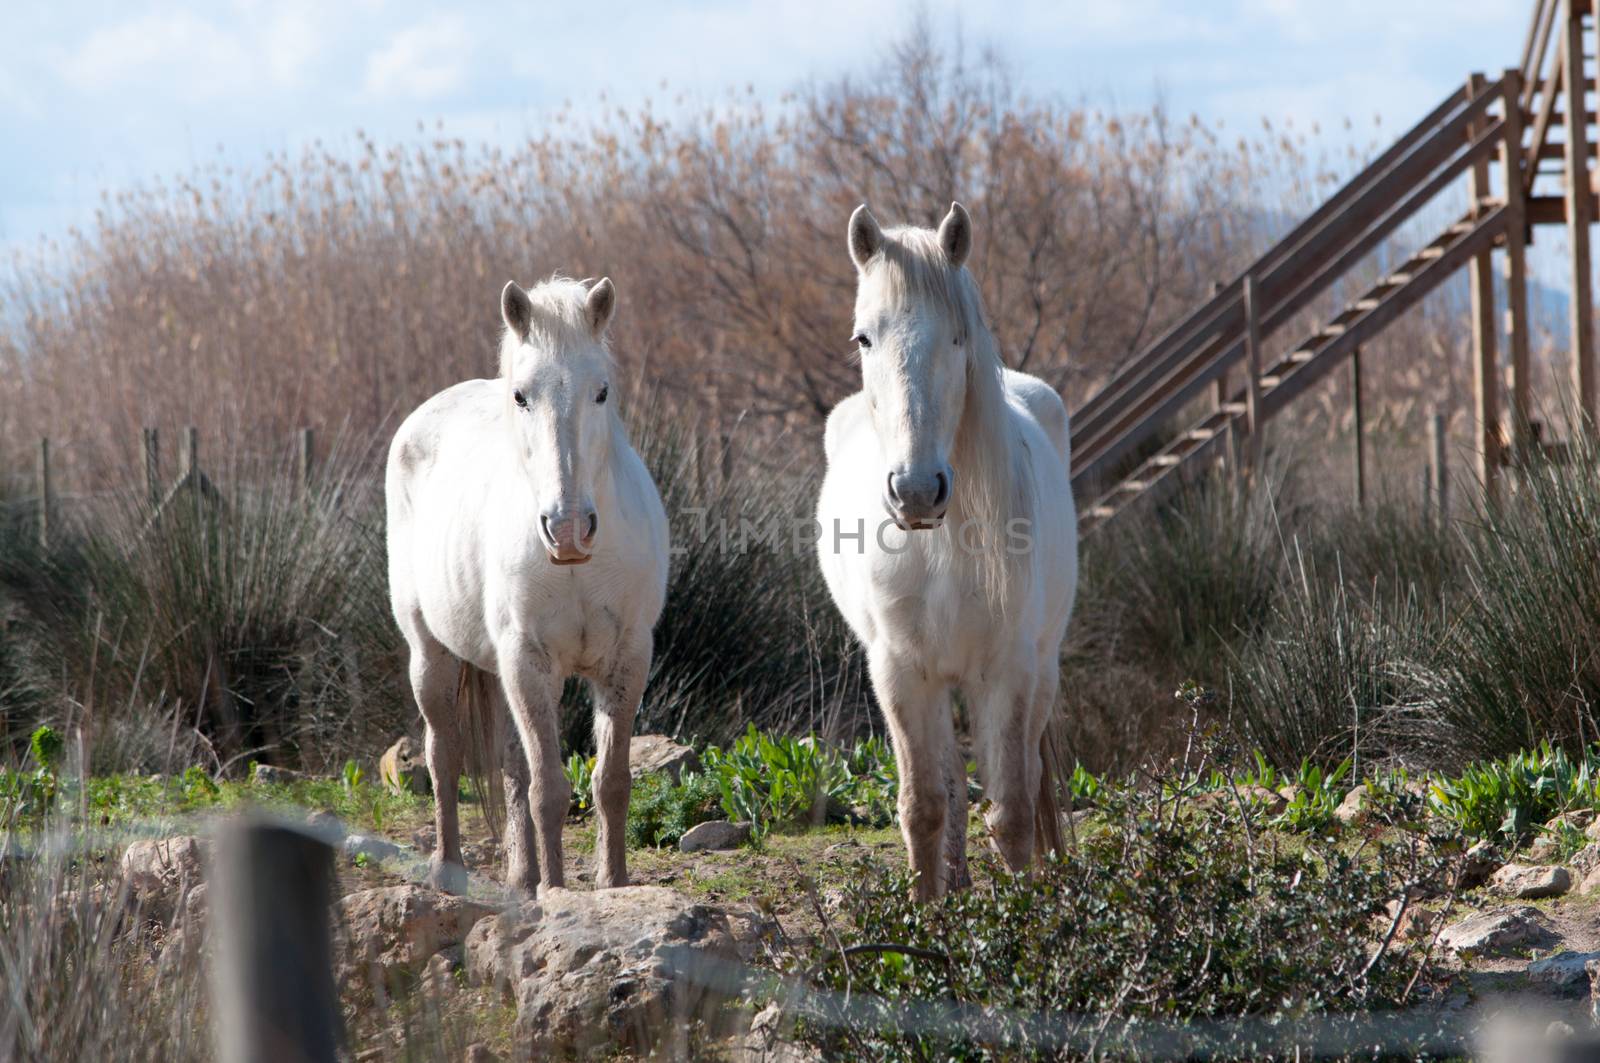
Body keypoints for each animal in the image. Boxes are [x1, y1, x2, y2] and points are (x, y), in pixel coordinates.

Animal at [387, 275, 668, 896]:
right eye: (521, 396)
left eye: (602, 391)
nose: (567, 528)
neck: (577, 566)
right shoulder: (528, 660)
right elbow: (550, 791)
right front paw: (558, 893)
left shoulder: (626, 659)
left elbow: (610, 782)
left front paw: (612, 886)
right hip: (431, 655)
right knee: (443, 756)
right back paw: (449, 871)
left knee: (512, 766)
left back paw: (522, 876)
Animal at [819, 203, 1081, 902]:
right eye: (864, 338)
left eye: (959, 337)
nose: (915, 490)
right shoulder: (902, 674)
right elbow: (924, 806)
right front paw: (923, 912)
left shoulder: (1010, 672)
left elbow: (1013, 812)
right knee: (952, 789)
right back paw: (956, 887)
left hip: (1040, 669)